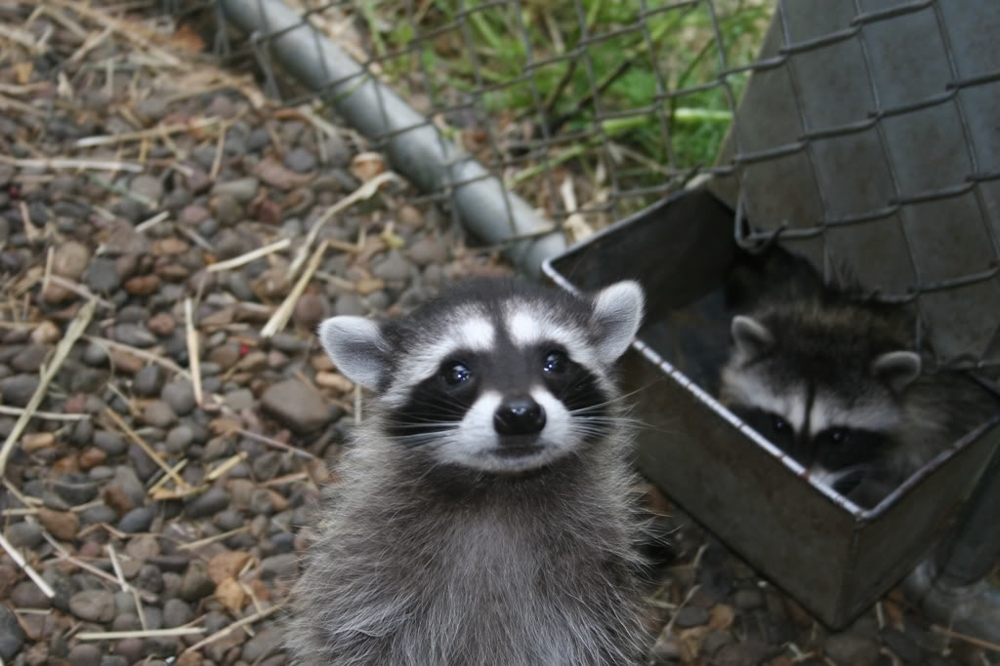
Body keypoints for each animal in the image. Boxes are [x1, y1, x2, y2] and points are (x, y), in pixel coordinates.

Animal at [288, 276, 648, 664]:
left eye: (555, 361)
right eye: (455, 373)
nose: (520, 414)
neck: (500, 486)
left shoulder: (592, 582)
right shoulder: (365, 572)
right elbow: (355, 637)